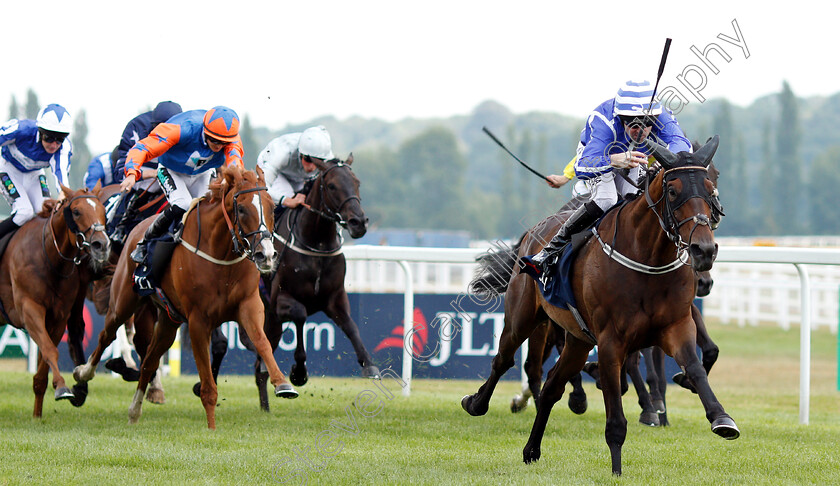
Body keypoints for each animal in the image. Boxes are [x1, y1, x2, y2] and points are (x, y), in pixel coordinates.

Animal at [0, 186, 110, 418]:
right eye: (76, 212)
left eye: (103, 210)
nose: (101, 245)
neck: (49, 258)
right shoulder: (29, 309)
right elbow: (50, 350)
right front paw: (61, 387)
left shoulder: (58, 317)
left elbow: (45, 361)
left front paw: (38, 414)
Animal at [74, 165, 298, 428]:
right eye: (241, 209)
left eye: (272, 207)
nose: (267, 255)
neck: (222, 255)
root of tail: (136, 229)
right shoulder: (198, 321)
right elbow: (209, 388)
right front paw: (211, 429)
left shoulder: (249, 305)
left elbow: (262, 342)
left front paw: (283, 383)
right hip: (123, 302)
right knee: (107, 334)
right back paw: (84, 373)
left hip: (169, 320)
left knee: (149, 361)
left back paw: (135, 410)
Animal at [235, 155, 382, 410]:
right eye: (331, 185)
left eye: (357, 182)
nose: (359, 222)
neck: (317, 244)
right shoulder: (281, 301)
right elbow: (301, 316)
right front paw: (298, 373)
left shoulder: (335, 299)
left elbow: (351, 326)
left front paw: (369, 364)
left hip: (270, 324)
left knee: (260, 365)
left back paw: (266, 407)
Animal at [462, 136, 740, 474]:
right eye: (673, 191)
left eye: (711, 185)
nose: (704, 250)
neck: (647, 257)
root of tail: (532, 233)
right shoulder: (611, 341)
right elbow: (616, 414)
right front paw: (618, 467)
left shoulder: (676, 325)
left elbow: (698, 366)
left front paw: (720, 417)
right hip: (524, 318)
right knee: (505, 360)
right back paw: (477, 403)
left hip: (578, 339)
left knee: (553, 385)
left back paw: (532, 448)